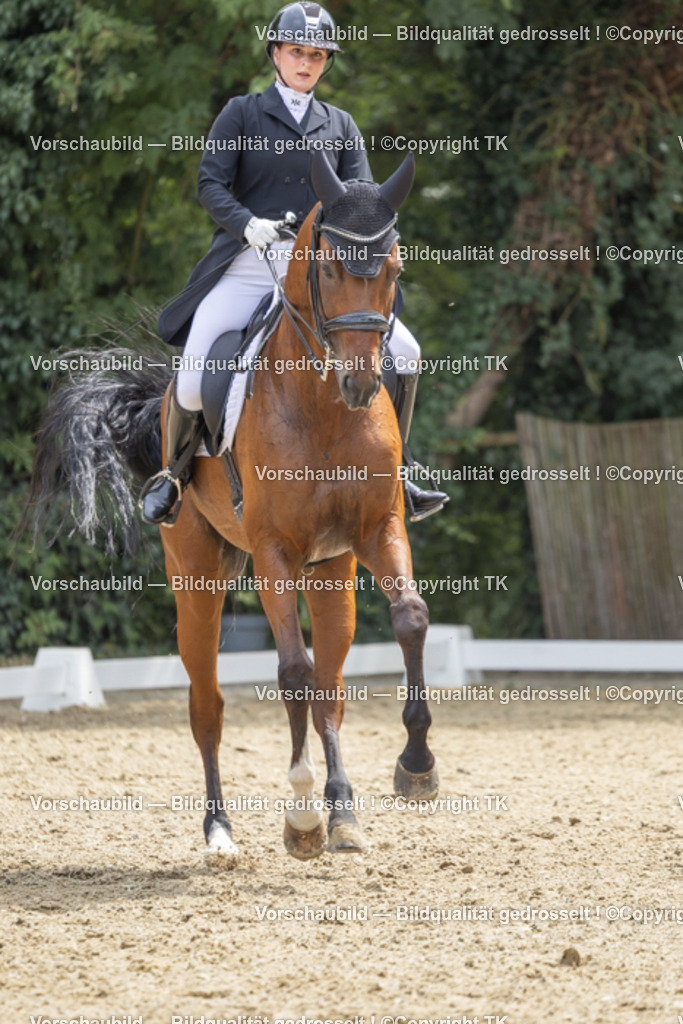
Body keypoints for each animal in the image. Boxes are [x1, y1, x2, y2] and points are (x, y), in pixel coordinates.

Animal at [27, 150, 439, 864]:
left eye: (394, 270)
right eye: (329, 268)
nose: (361, 384)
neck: (324, 408)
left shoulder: (378, 530)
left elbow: (409, 620)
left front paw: (415, 765)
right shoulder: (274, 552)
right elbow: (292, 670)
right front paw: (300, 818)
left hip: (331, 571)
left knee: (331, 690)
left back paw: (344, 812)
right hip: (197, 575)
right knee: (209, 704)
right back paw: (221, 830)